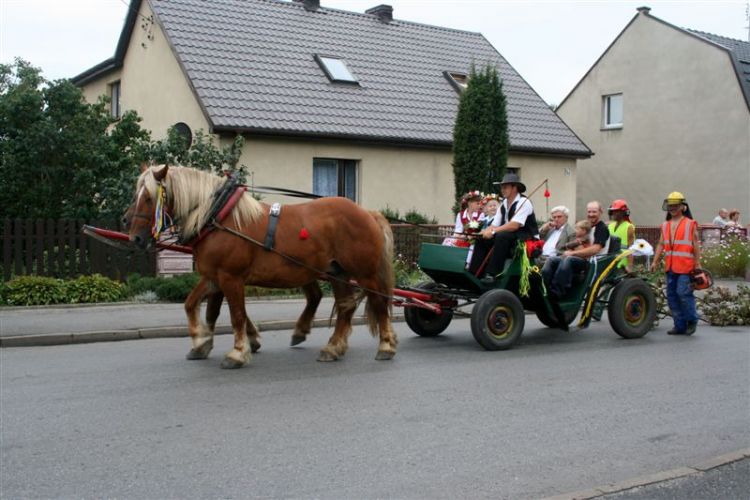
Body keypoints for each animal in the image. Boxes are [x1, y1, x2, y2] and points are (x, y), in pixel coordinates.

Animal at [128, 164, 400, 368]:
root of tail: (367, 212)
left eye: (149, 198)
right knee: (345, 307)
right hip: (337, 273)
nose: (135, 238)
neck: (218, 217)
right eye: (137, 196)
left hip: (365, 273)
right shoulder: (214, 277)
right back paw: (333, 348)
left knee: (378, 302)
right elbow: (194, 305)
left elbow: (236, 315)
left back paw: (385, 346)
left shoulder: (231, 277)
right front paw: (201, 341)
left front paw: (237, 352)